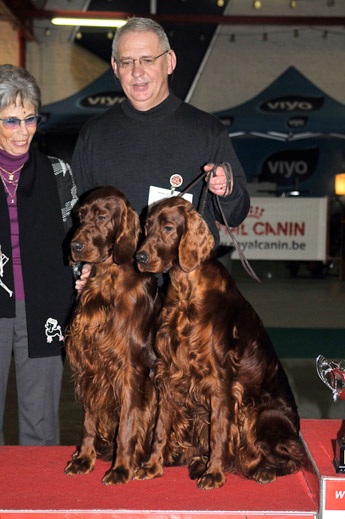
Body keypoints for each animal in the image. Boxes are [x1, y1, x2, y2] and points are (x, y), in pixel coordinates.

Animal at [64, 188, 159, 488]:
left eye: (103, 217)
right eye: (80, 215)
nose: (75, 246)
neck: (108, 277)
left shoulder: (131, 368)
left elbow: (127, 425)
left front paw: (121, 468)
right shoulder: (90, 364)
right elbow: (88, 421)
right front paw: (84, 459)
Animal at [134, 196, 304, 492]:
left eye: (168, 228)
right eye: (147, 226)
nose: (140, 258)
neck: (187, 290)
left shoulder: (221, 381)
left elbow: (220, 432)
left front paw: (214, 473)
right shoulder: (169, 373)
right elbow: (160, 428)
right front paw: (152, 466)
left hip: (259, 414)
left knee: (292, 457)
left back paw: (264, 470)